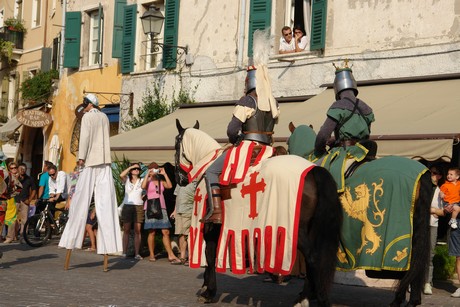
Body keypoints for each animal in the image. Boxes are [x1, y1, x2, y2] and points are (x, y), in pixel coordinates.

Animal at [174, 119, 344, 306]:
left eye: (176, 144)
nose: (180, 179)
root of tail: (313, 171)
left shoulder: (210, 226)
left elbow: (209, 256)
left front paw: (208, 292)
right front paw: (207, 288)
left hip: (297, 231)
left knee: (313, 258)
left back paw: (315, 298)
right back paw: (305, 297)